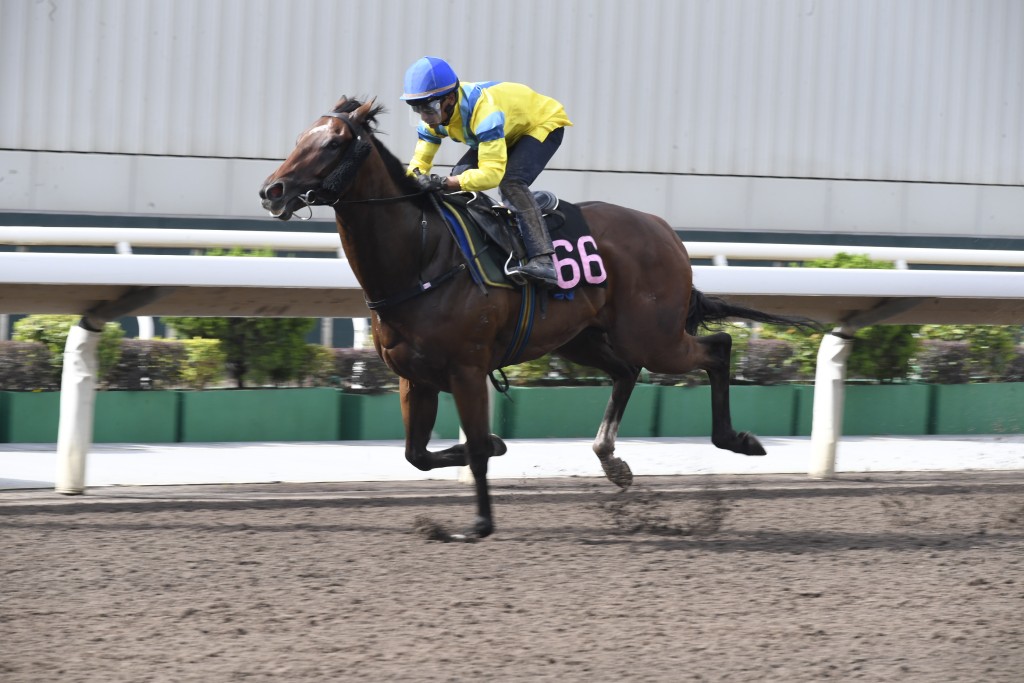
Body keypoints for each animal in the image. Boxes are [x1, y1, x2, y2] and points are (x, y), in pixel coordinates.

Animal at [260, 100, 811, 540]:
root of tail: (665, 231)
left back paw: (737, 440)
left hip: (653, 335)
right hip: (579, 337)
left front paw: (479, 523)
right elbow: (419, 454)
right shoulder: (413, 377)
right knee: (627, 371)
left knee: (716, 348)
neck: (421, 257)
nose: (273, 190)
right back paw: (612, 461)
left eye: (333, 143)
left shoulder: (465, 370)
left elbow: (475, 447)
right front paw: (497, 447)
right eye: (300, 137)